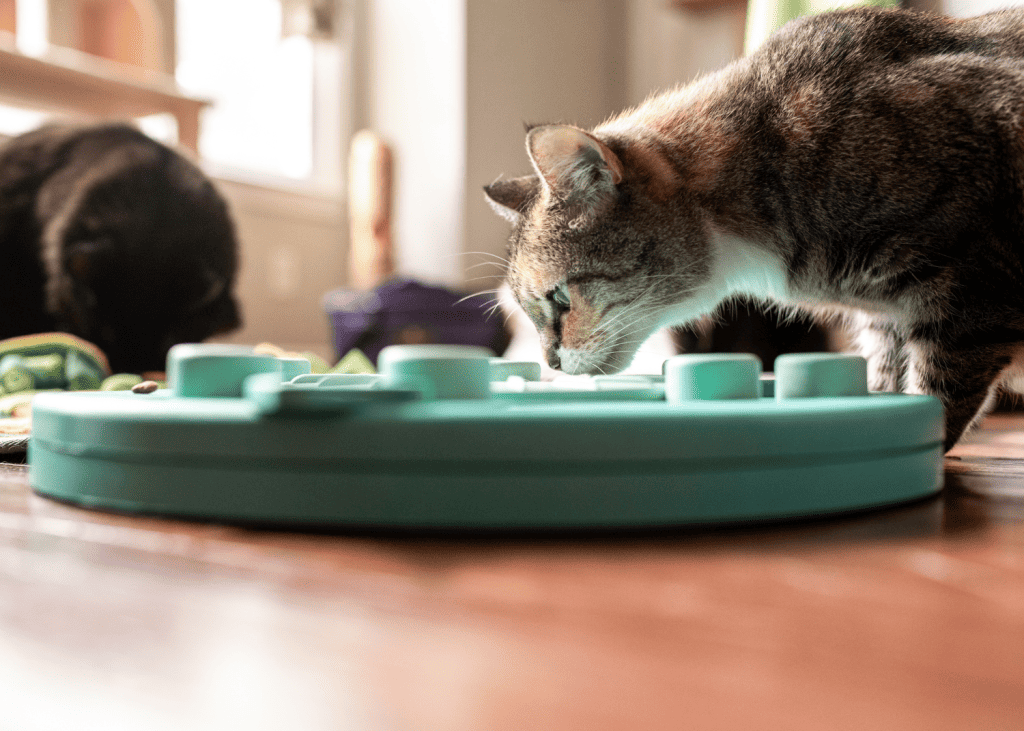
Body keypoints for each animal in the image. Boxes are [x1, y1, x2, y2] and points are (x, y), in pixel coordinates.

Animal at [481, 7, 1024, 450]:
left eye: (560, 299)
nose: (549, 365)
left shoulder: (970, 295)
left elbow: (939, 392)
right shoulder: (886, 321)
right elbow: (890, 377)